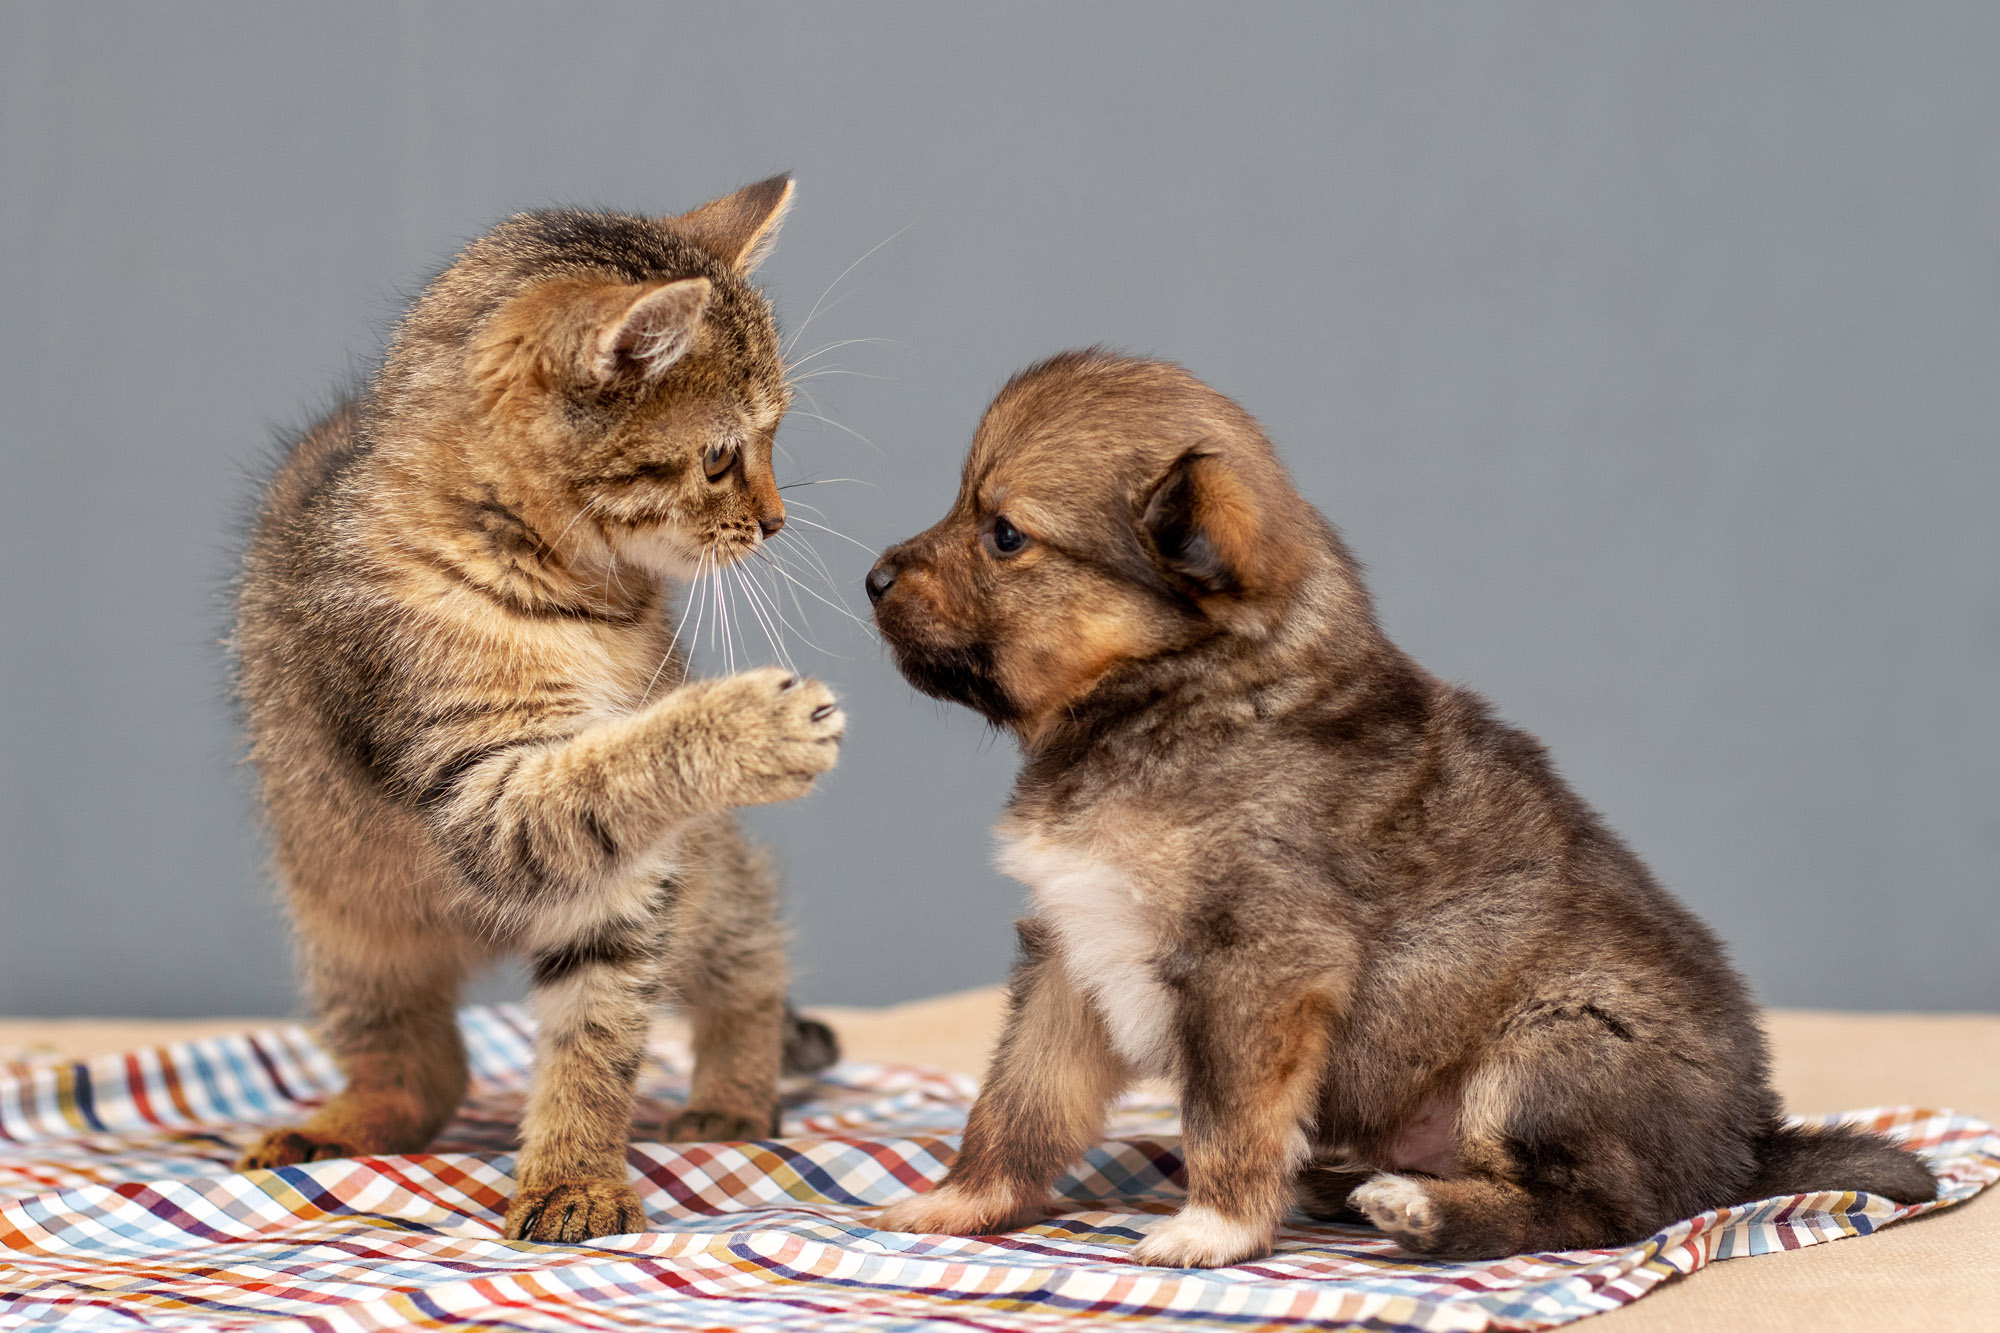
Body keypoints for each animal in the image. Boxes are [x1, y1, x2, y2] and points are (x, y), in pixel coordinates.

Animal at [234, 171, 844, 1240]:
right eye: (723, 457)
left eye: (776, 438)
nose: (773, 522)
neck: (577, 600)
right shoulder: (479, 788)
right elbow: (606, 769)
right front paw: (745, 725)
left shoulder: (627, 882)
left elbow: (596, 1028)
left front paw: (574, 1173)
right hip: (339, 920)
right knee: (423, 1070)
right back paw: (340, 1123)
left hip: (702, 881)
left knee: (752, 955)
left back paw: (734, 1092)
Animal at [864, 348, 1936, 1264]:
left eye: (1004, 533)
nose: (871, 578)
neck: (1174, 692)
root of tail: (1747, 1144)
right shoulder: (1071, 950)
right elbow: (1017, 1099)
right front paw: (959, 1201)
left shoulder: (1259, 961)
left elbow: (1226, 1117)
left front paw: (1214, 1227)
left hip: (1558, 1043)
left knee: (1601, 1208)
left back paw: (1420, 1209)